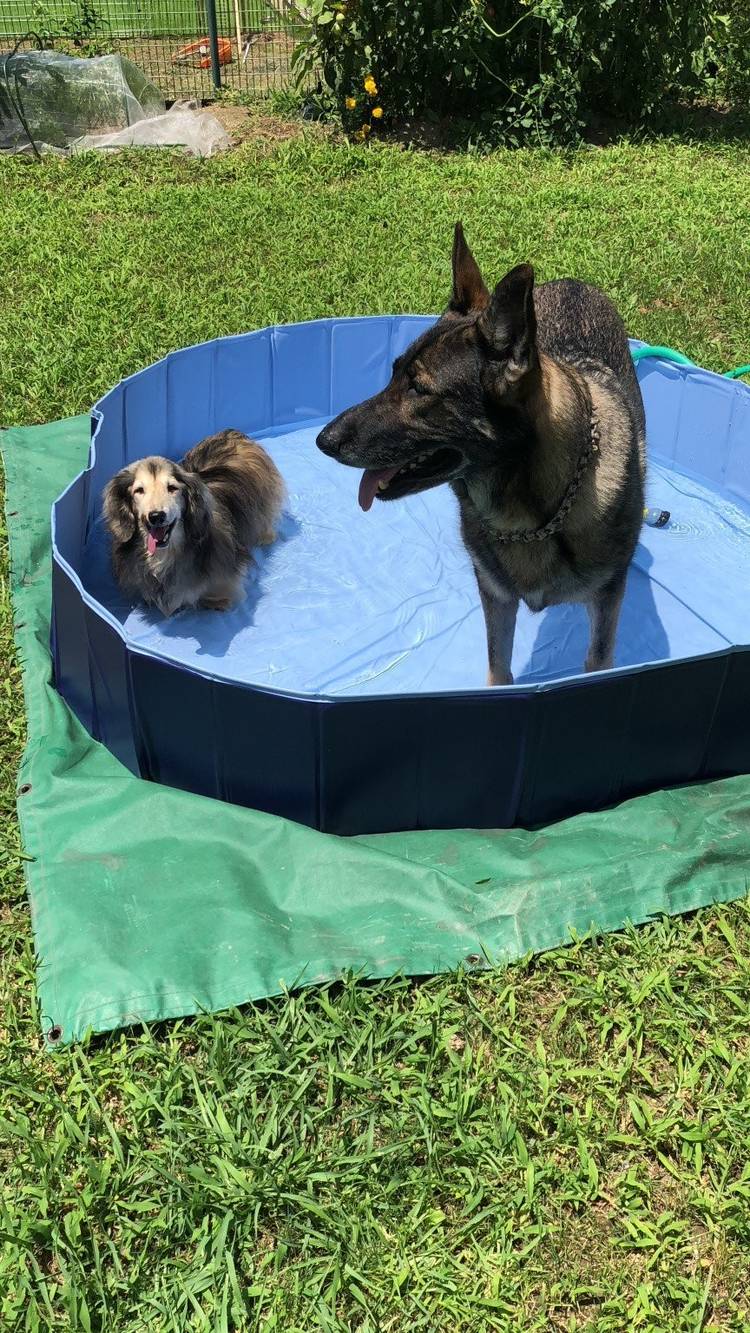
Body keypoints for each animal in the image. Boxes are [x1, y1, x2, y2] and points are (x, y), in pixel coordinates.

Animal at [103, 429, 284, 616]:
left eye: (172, 488)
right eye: (139, 490)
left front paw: (215, 601)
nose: (156, 516)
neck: (165, 555)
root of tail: (231, 432)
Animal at [317, 223, 645, 685]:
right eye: (393, 374)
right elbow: (498, 667)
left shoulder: (606, 602)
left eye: (418, 389)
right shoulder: (496, 597)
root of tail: (573, 283)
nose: (324, 441)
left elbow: (598, 661)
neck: (536, 515)